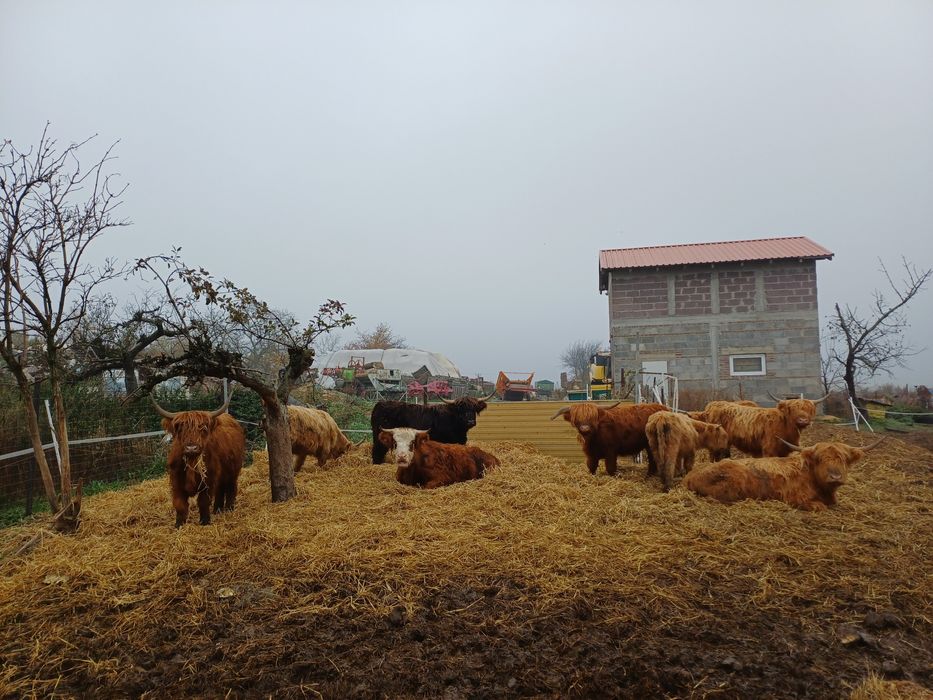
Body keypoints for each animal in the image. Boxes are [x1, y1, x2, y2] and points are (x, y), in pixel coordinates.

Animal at [152, 395, 246, 528]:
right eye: (181, 428)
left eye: (203, 428)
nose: (191, 448)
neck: (192, 462)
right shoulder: (176, 481)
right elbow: (179, 504)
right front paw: (179, 525)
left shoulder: (209, 479)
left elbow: (203, 501)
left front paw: (205, 521)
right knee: (220, 490)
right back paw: (217, 510)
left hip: (233, 471)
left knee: (231, 487)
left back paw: (229, 509)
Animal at [683, 438, 883, 510]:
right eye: (820, 459)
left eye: (843, 459)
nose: (835, 477)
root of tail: (689, 476)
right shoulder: (795, 498)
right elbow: (820, 507)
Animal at [696, 393, 828, 460]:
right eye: (792, 409)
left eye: (808, 409)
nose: (803, 420)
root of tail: (712, 404)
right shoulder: (769, 450)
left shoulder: (783, 451)